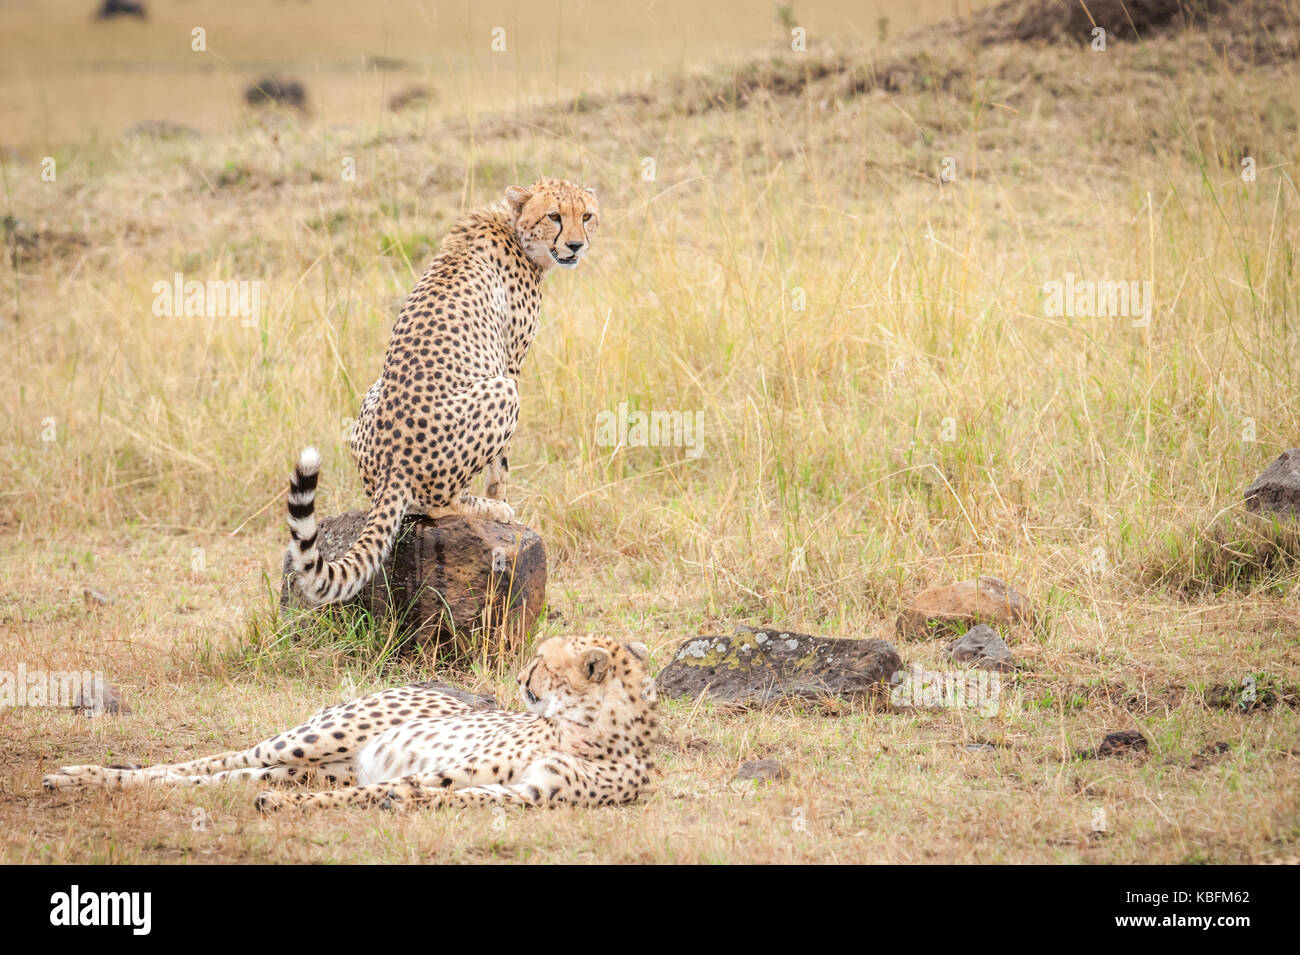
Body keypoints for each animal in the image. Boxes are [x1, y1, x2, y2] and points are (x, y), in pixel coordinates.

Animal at [43, 634, 660, 815]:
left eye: (542, 662)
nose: (519, 677)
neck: (592, 730)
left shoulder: (526, 793)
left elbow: (432, 794)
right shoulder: (454, 771)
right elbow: (395, 790)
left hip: (305, 765)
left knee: (209, 780)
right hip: (312, 739)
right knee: (207, 761)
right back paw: (76, 776)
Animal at [284, 178, 598, 605]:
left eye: (587, 215)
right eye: (554, 216)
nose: (577, 245)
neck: (513, 227)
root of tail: (392, 464)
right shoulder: (510, 365)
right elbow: (502, 465)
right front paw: (500, 500)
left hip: (372, 393)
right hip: (502, 392)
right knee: (437, 505)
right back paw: (488, 509)